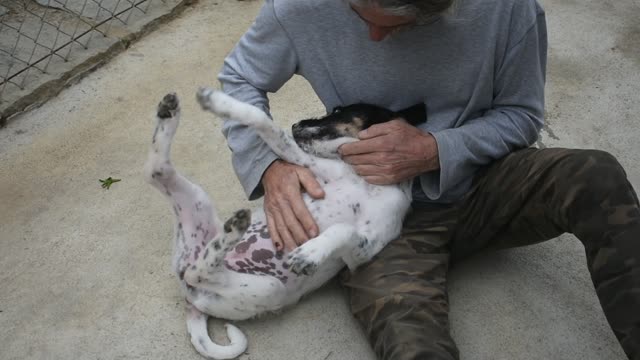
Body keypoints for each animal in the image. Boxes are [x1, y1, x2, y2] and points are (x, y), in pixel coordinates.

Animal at [145, 88, 424, 358]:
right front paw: (220, 102)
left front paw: (311, 252)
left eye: (337, 111)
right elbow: (265, 122)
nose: (296, 124)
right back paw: (169, 113)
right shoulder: (304, 161)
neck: (366, 180)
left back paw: (234, 227)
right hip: (201, 211)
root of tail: (188, 299)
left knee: (197, 267)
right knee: (157, 171)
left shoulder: (364, 251)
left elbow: (344, 230)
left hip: (267, 288)